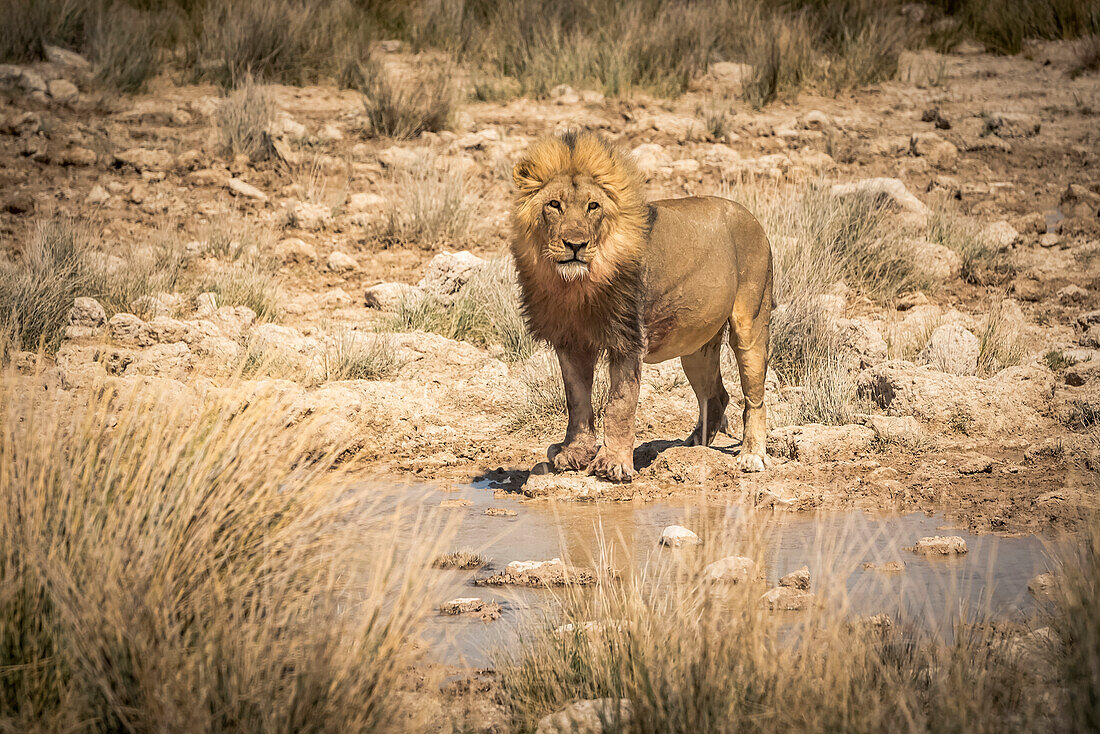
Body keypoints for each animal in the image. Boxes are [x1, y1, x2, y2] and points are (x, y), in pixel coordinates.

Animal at [512, 130, 774, 481]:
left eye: (593, 206)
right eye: (554, 205)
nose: (575, 245)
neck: (574, 286)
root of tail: (751, 216)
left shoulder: (628, 340)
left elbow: (619, 406)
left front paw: (613, 464)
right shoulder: (570, 341)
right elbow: (577, 401)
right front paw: (574, 454)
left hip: (751, 323)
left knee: (754, 397)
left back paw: (752, 456)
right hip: (696, 347)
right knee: (717, 395)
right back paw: (692, 447)